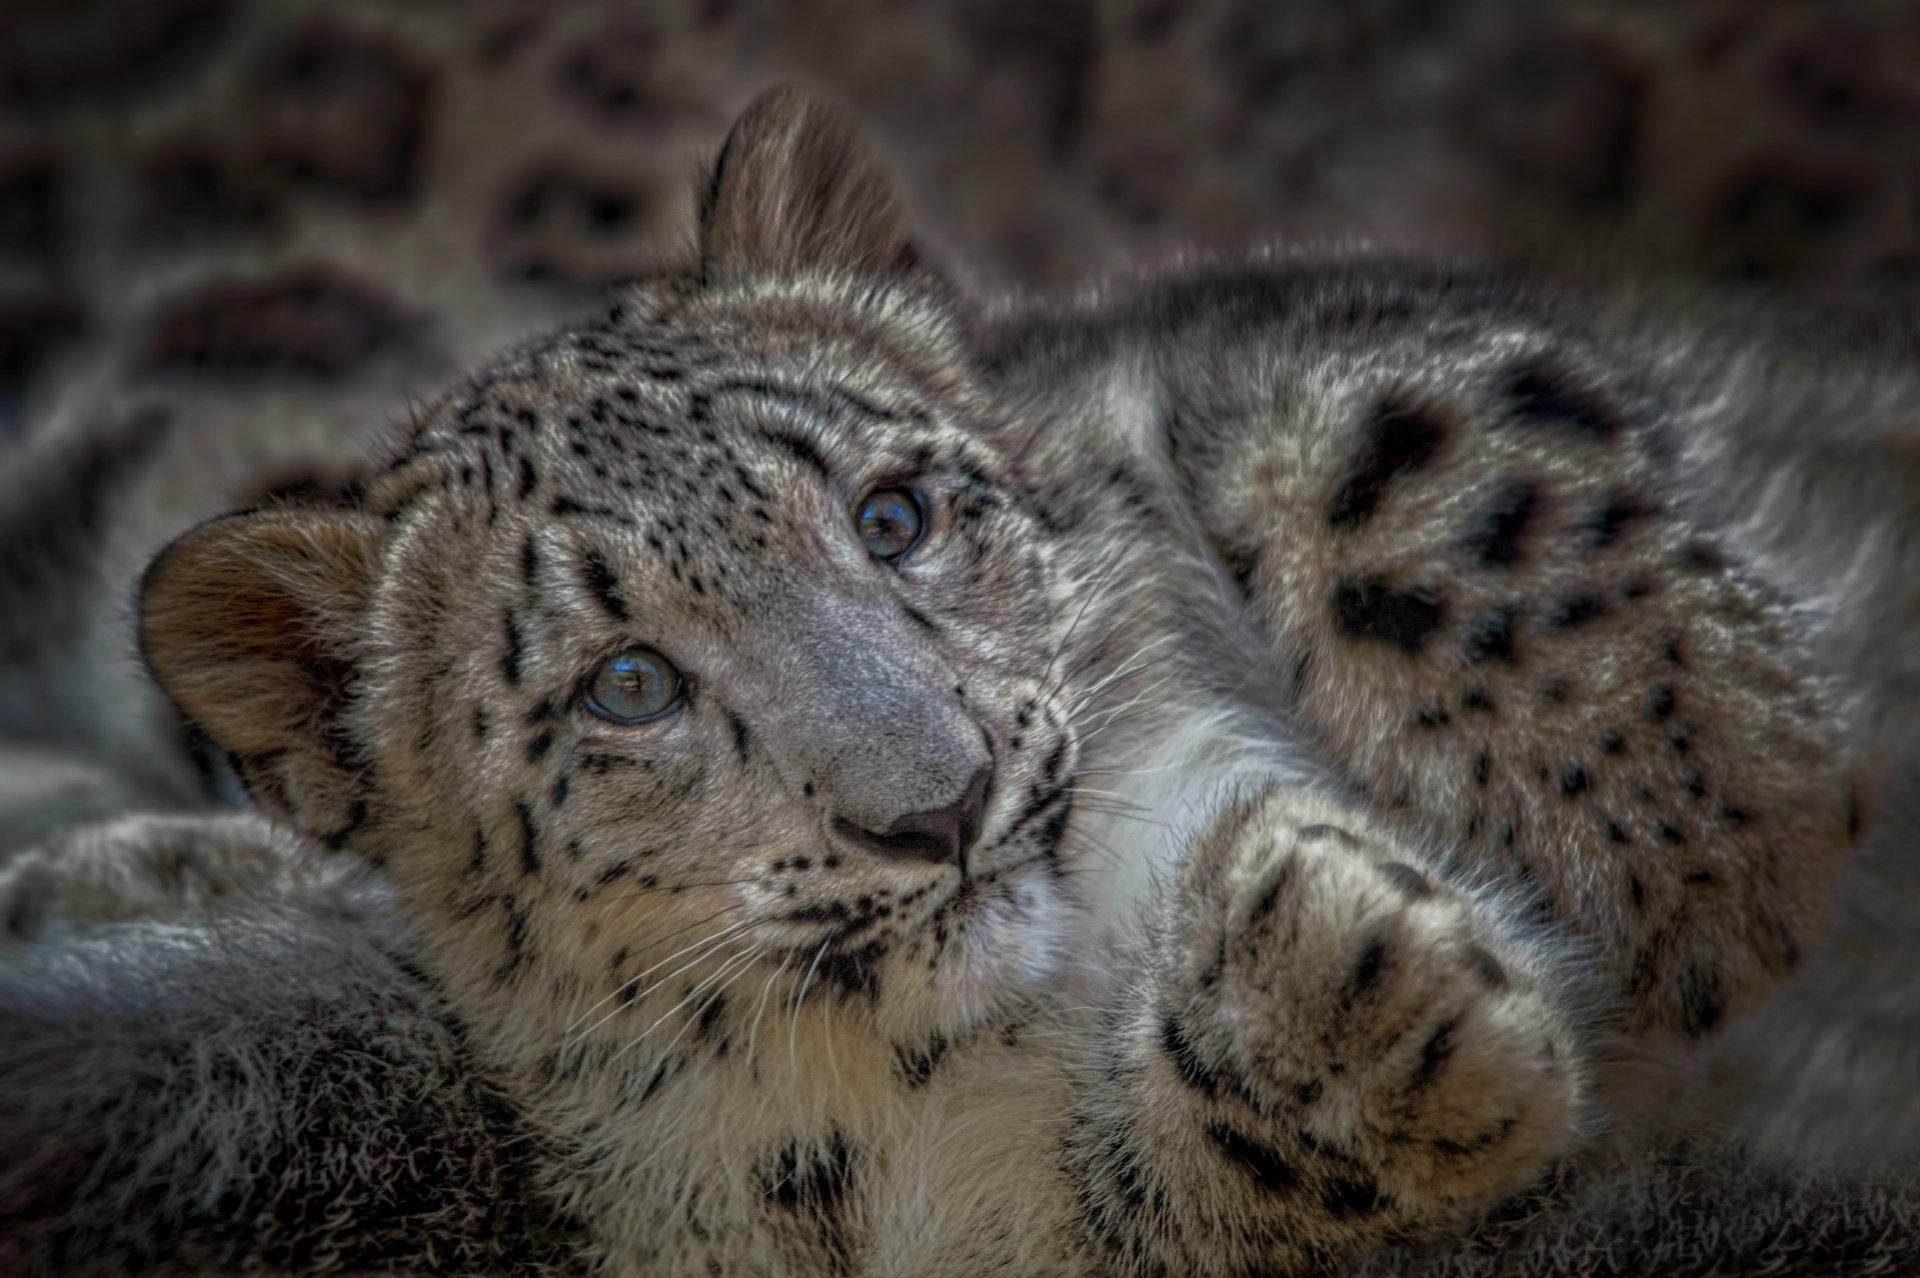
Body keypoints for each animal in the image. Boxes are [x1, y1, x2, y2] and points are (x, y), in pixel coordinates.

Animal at [0, 81, 1900, 1275]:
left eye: (892, 512)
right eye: (628, 685)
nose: (943, 803)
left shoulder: (1229, 335)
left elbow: (1425, 449)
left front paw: (1702, 850)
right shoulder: (960, 1224)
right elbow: (1185, 1178)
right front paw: (1333, 982)